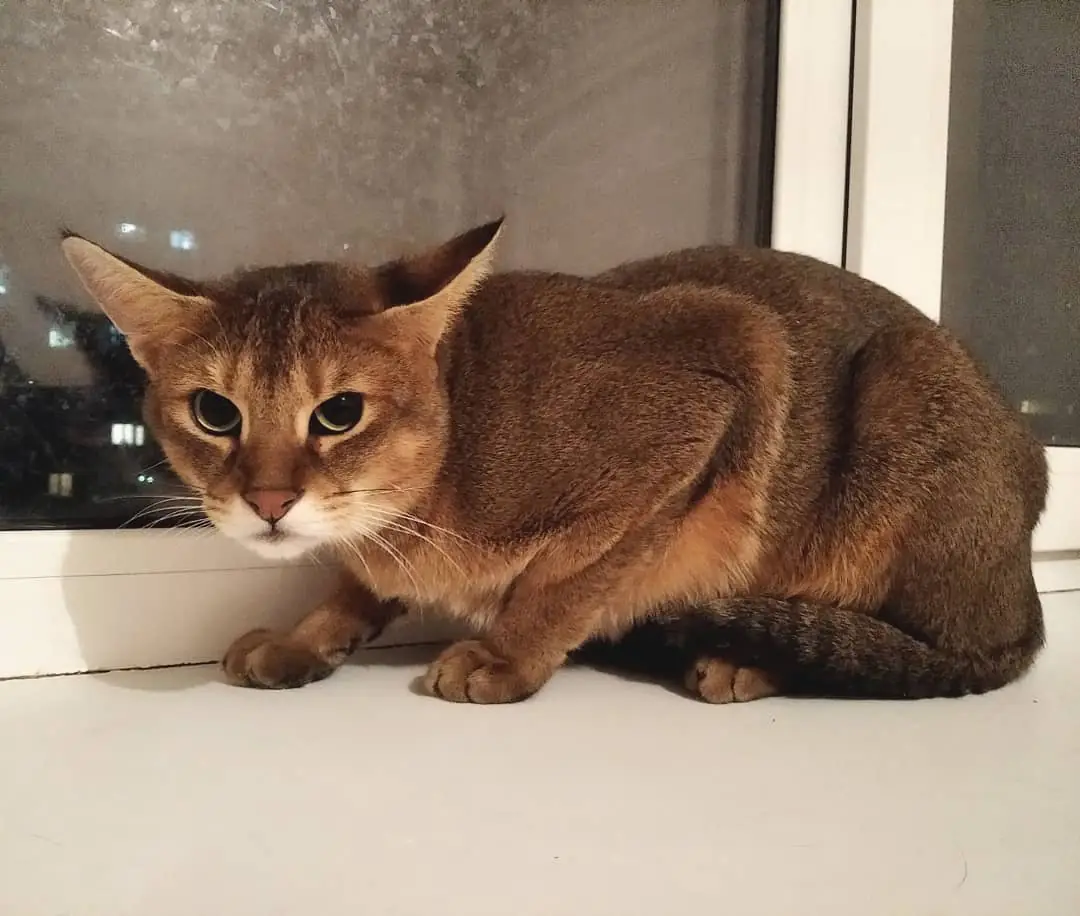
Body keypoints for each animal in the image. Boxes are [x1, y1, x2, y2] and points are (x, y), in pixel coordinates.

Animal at [61, 220, 1047, 703]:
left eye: (338, 413)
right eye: (214, 412)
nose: (267, 501)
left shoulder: (727, 372)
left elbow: (564, 581)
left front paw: (505, 657)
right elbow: (354, 583)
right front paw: (307, 637)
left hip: (900, 391)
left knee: (936, 649)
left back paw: (751, 660)